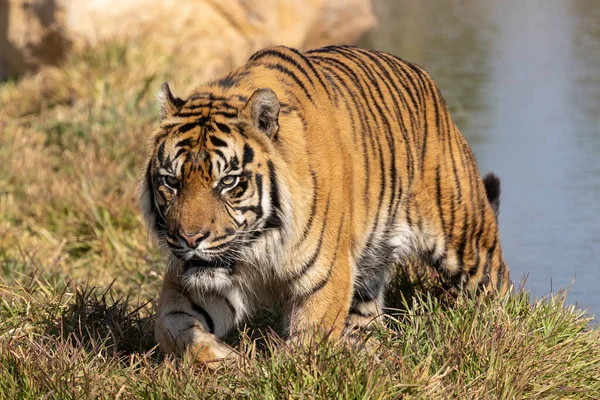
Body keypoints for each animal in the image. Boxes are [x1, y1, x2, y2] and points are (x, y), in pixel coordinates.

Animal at [141, 44, 510, 366]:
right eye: (171, 182)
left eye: (228, 182)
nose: (190, 238)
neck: (258, 247)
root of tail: (423, 77)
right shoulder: (192, 281)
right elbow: (168, 327)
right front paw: (223, 359)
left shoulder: (326, 276)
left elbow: (307, 345)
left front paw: (274, 371)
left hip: (466, 238)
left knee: (496, 285)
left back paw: (497, 330)